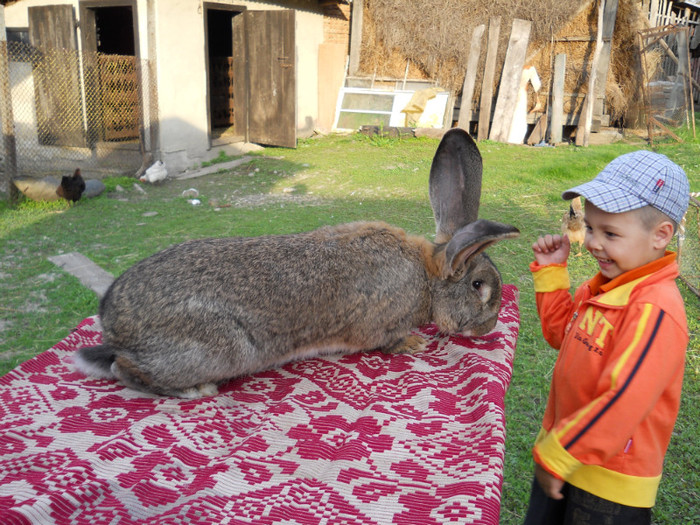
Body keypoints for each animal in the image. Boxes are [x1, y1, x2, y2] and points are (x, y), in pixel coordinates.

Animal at [74, 128, 516, 398]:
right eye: (479, 286)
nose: (488, 328)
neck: (425, 276)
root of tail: (112, 322)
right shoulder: (378, 325)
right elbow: (387, 341)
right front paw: (413, 342)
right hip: (217, 350)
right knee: (124, 371)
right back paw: (194, 390)